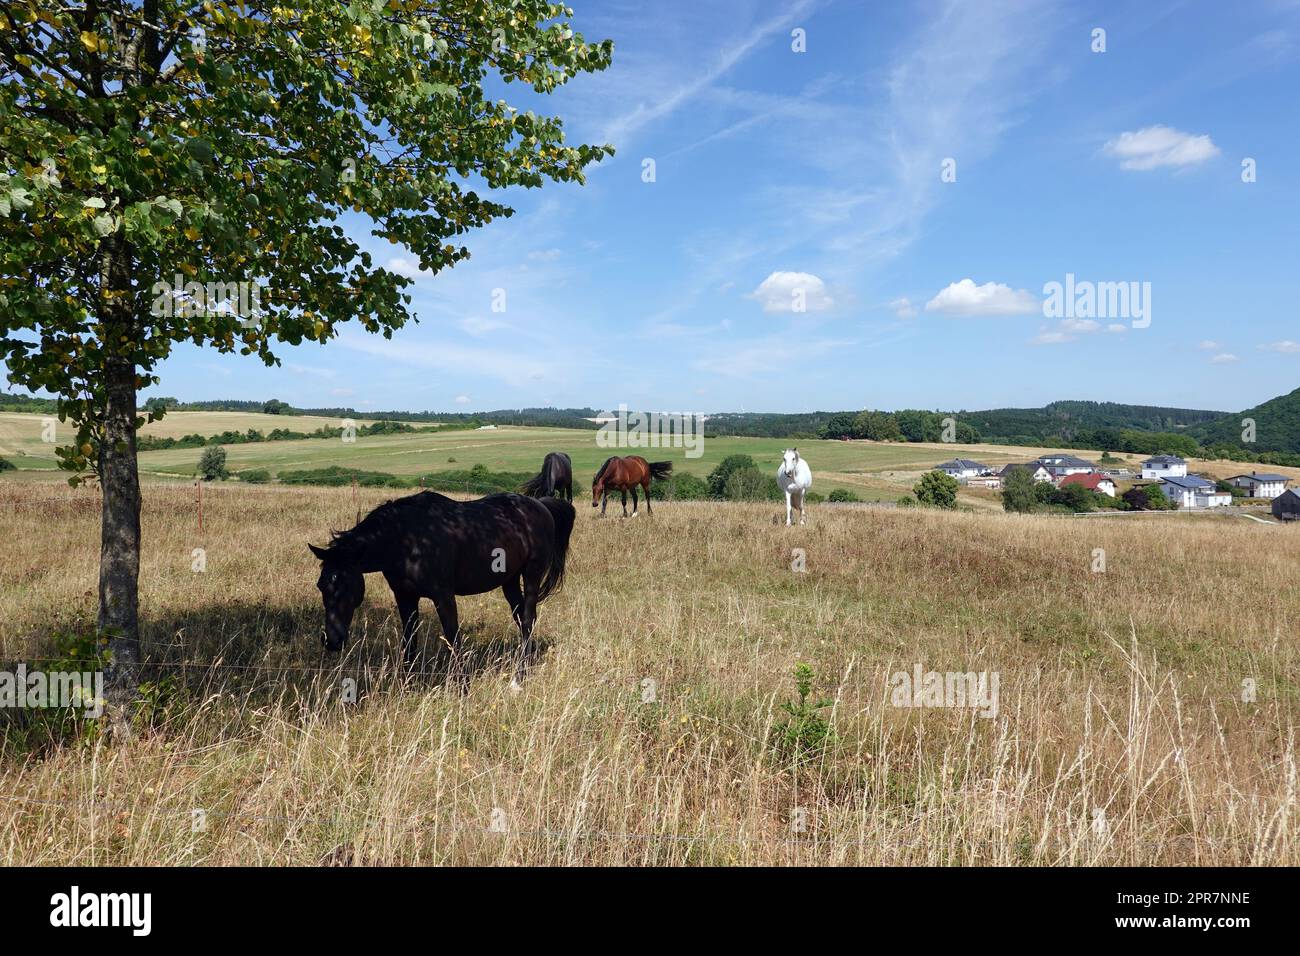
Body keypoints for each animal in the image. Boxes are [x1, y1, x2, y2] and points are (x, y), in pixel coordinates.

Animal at [309, 494, 574, 681]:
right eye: (321, 585)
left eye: (345, 583)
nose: (331, 640)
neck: (406, 539)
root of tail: (540, 505)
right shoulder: (405, 597)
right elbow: (409, 640)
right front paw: (407, 683)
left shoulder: (443, 596)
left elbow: (452, 637)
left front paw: (462, 686)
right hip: (508, 580)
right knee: (520, 618)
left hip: (532, 574)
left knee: (528, 617)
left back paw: (521, 674)